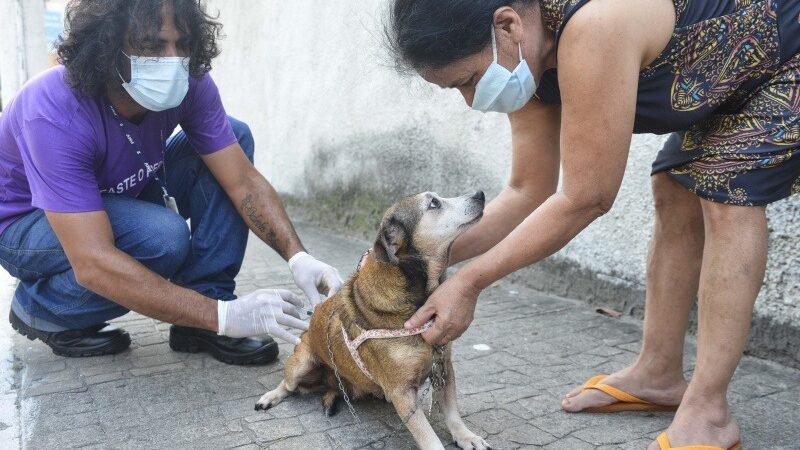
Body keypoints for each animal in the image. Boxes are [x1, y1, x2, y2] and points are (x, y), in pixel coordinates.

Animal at [256, 191, 490, 450]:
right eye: (434, 203)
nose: (480, 194)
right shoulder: (402, 392)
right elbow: (429, 437)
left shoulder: (444, 367)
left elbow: (452, 412)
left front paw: (466, 436)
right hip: (301, 363)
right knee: (288, 384)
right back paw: (271, 396)